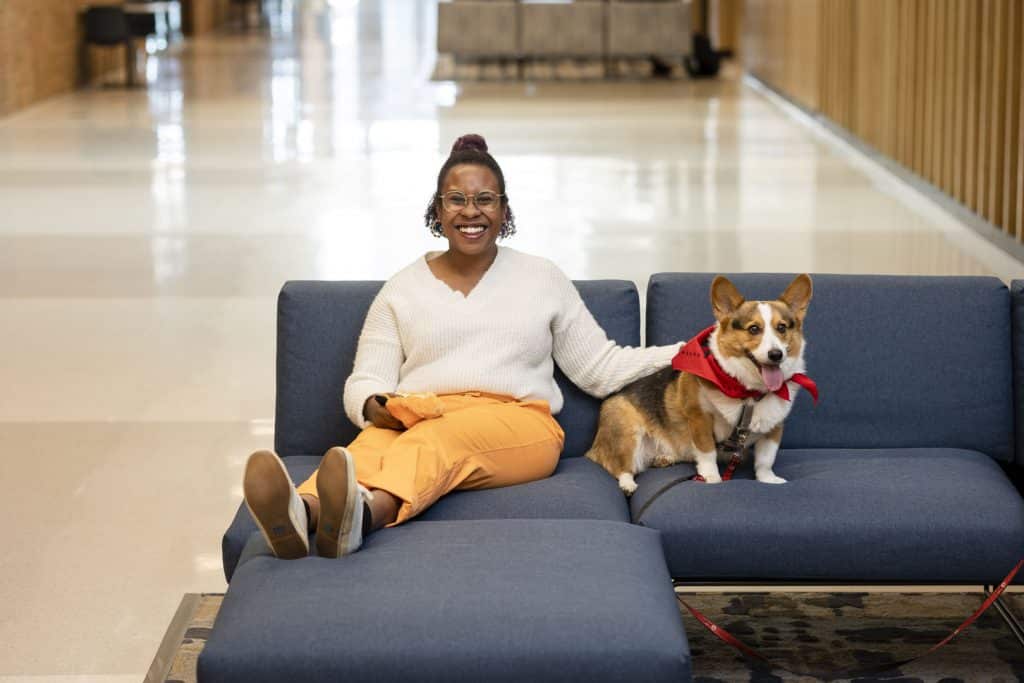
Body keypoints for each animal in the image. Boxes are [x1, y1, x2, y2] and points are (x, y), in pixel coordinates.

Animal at [585, 274, 815, 493]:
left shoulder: (774, 427)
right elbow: (707, 453)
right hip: (626, 432)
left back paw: (664, 458)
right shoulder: (699, 418)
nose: (776, 354)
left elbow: (766, 459)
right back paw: (628, 484)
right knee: (621, 467)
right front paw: (711, 478)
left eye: (782, 328)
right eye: (754, 329)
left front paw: (768, 479)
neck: (748, 394)